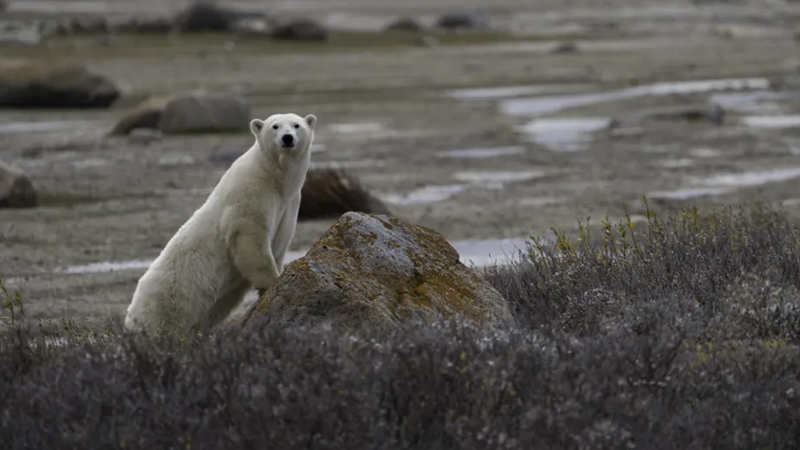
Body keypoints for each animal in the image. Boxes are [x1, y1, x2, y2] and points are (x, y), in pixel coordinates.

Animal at [123, 113, 318, 338]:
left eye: (296, 125)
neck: (274, 176)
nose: (287, 138)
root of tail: (130, 319)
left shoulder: (290, 204)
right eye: (275, 126)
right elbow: (251, 235)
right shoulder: (251, 193)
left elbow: (279, 243)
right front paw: (273, 282)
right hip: (168, 301)